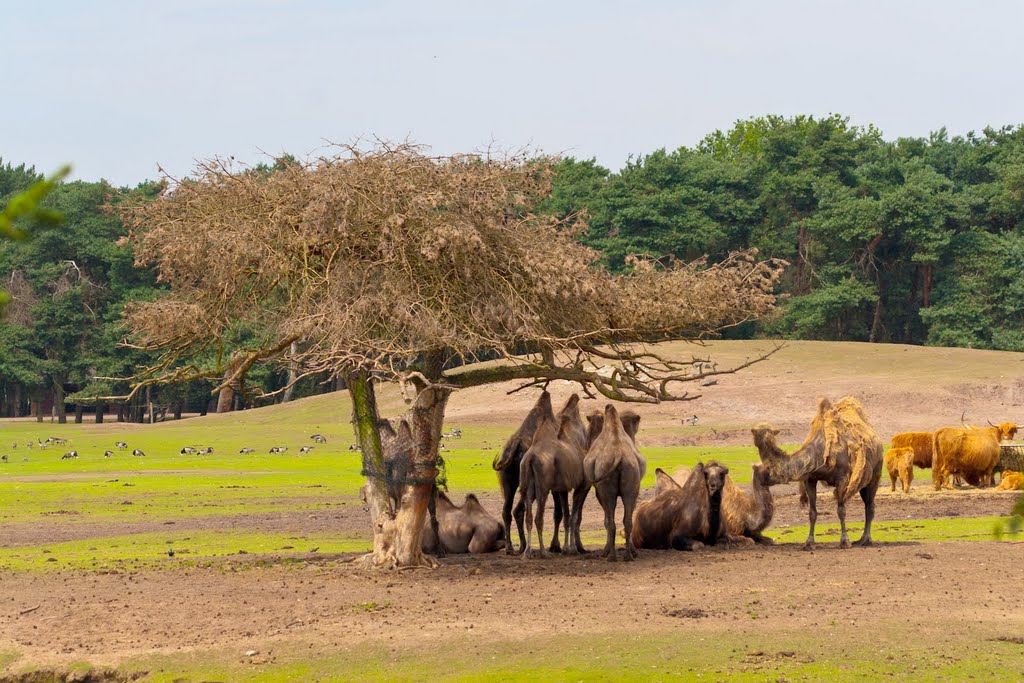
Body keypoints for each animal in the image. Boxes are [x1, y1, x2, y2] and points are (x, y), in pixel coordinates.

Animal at [585, 405, 647, 561]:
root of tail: (619, 455)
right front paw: (633, 551)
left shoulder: (599, 491)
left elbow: (606, 520)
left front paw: (605, 550)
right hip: (631, 476)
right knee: (628, 520)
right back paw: (628, 556)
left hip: (606, 484)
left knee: (611, 520)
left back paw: (611, 556)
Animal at [749, 395, 884, 548]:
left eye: (764, 471)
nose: (753, 429)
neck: (818, 453)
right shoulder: (810, 479)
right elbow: (812, 512)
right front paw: (809, 542)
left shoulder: (842, 479)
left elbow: (841, 511)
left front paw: (845, 541)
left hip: (875, 473)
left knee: (869, 506)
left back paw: (865, 539)